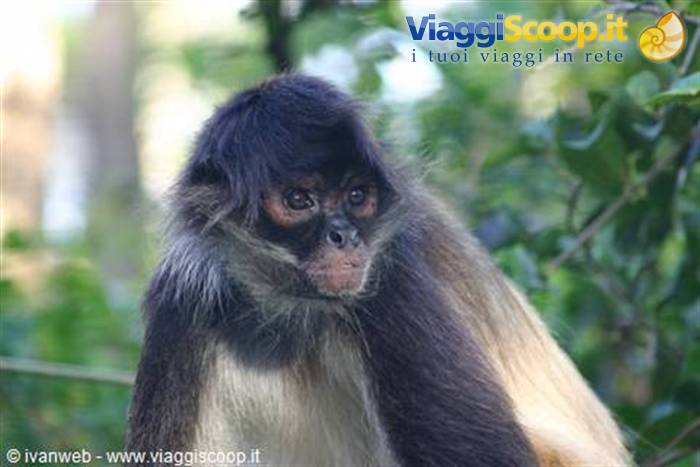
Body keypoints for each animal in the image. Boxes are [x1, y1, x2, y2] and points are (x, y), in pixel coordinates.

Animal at [126, 74, 630, 466]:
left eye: (357, 196)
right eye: (298, 200)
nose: (346, 236)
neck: (294, 308)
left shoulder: (388, 277)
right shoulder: (181, 300)